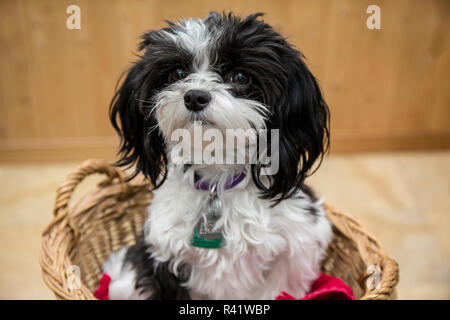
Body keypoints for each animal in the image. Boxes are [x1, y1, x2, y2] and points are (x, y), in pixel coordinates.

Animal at [104, 11, 330, 300]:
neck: (218, 178)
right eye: (178, 73)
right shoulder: (161, 254)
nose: (194, 96)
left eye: (240, 76)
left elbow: (278, 286)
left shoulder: (296, 247)